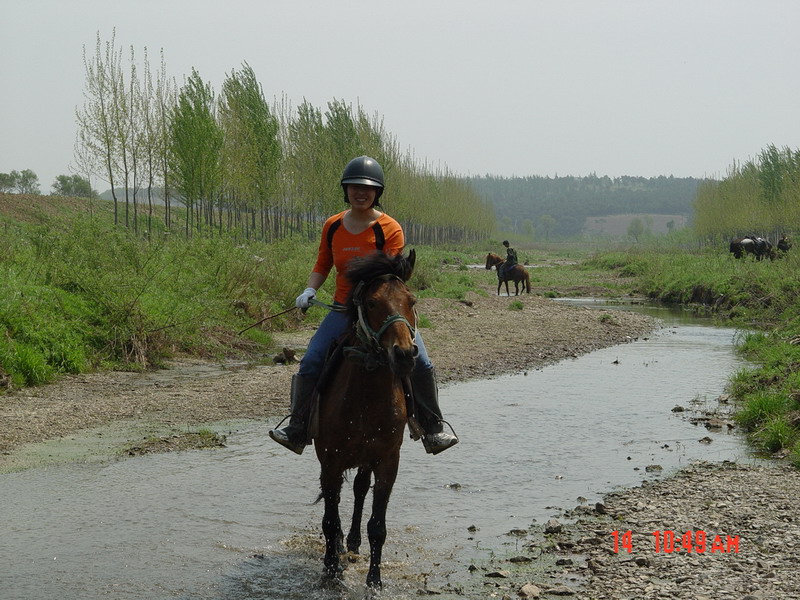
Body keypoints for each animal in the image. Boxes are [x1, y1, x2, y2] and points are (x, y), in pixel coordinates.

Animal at [312, 248, 418, 592]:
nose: (404, 355)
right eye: (372, 303)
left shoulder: (387, 461)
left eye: (411, 301)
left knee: (359, 490)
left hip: (366, 458)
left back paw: (354, 542)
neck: (367, 396)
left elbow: (378, 525)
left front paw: (375, 580)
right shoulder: (330, 460)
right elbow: (329, 519)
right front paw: (331, 569)